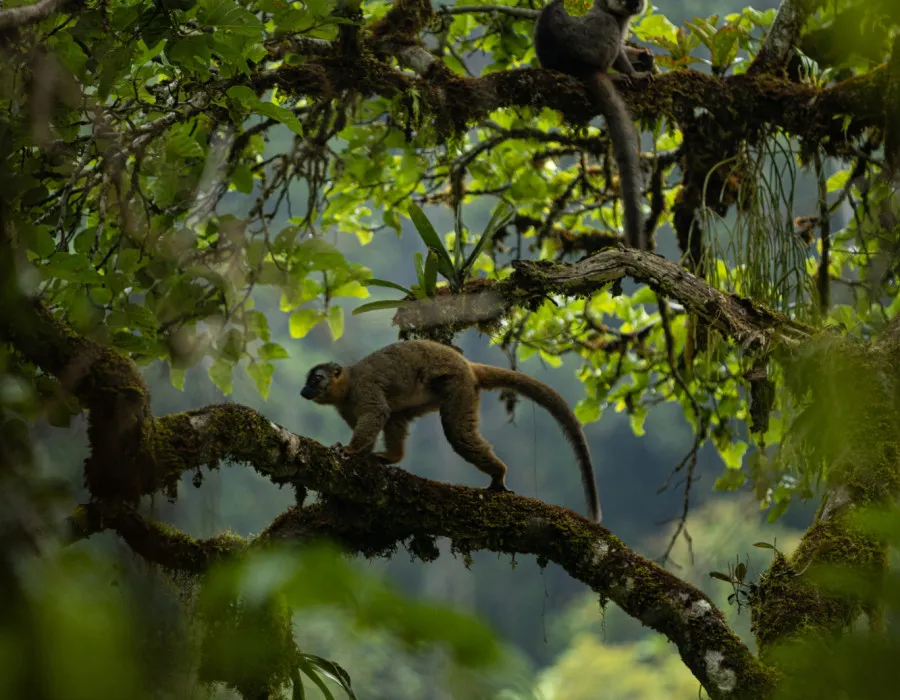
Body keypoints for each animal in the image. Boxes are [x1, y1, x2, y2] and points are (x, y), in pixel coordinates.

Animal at [301, 339, 602, 523]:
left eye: (316, 379)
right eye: (308, 382)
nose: (304, 391)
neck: (347, 387)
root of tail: (467, 364)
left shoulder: (364, 388)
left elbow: (377, 413)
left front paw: (349, 450)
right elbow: (385, 419)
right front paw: (365, 455)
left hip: (459, 385)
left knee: (457, 432)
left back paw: (498, 473)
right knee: (400, 417)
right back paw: (394, 457)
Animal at [534, 0, 650, 250]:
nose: (634, 5)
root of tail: (566, 62)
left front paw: (642, 56)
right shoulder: (612, 17)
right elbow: (619, 52)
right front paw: (634, 73)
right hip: (586, 41)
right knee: (607, 26)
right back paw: (612, 75)